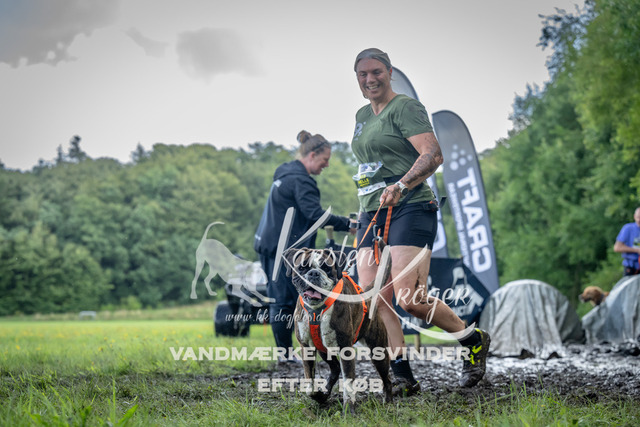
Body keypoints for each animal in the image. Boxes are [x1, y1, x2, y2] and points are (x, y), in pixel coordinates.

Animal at [284, 247, 393, 408]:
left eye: (326, 268)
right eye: (303, 267)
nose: (314, 273)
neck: (317, 309)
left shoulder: (345, 348)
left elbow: (348, 382)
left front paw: (348, 409)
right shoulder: (307, 348)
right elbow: (310, 384)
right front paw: (318, 395)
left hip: (378, 352)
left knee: (387, 379)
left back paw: (389, 401)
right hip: (324, 350)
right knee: (335, 369)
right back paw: (324, 394)